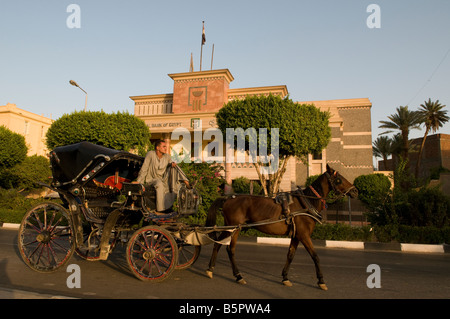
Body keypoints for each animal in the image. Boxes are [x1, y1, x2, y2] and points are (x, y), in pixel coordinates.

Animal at [205, 165, 358, 290]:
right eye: (339, 179)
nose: (355, 191)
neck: (306, 203)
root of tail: (228, 198)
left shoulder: (297, 235)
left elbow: (290, 255)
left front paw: (285, 277)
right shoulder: (304, 235)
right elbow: (315, 256)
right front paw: (321, 281)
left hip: (230, 227)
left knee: (218, 244)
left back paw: (211, 269)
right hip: (235, 228)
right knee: (230, 249)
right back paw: (238, 275)